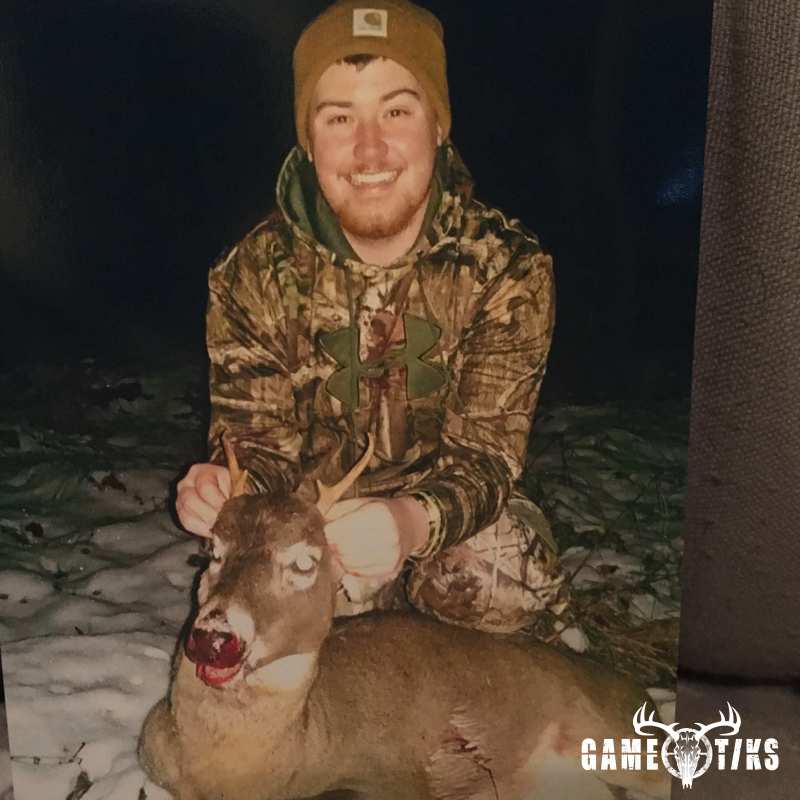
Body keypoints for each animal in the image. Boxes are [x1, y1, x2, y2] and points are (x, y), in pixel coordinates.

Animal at [139, 433, 671, 800]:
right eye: (212, 551)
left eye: (306, 561)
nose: (214, 638)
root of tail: (637, 691)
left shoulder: (391, 776)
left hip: (612, 733)